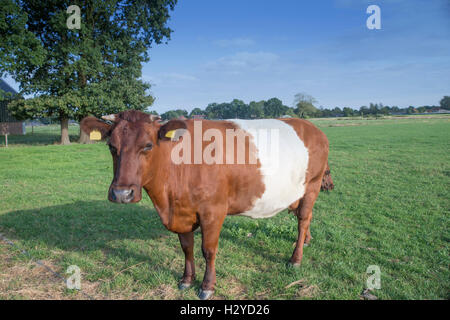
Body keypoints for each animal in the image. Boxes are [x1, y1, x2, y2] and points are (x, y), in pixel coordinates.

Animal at [81, 110, 334, 300]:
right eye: (111, 147)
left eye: (148, 146)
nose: (121, 193)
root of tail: (311, 127)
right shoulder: (181, 212)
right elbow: (187, 247)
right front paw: (186, 280)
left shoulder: (213, 211)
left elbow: (208, 250)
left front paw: (207, 286)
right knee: (305, 217)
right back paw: (307, 241)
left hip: (312, 185)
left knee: (303, 219)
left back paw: (295, 259)